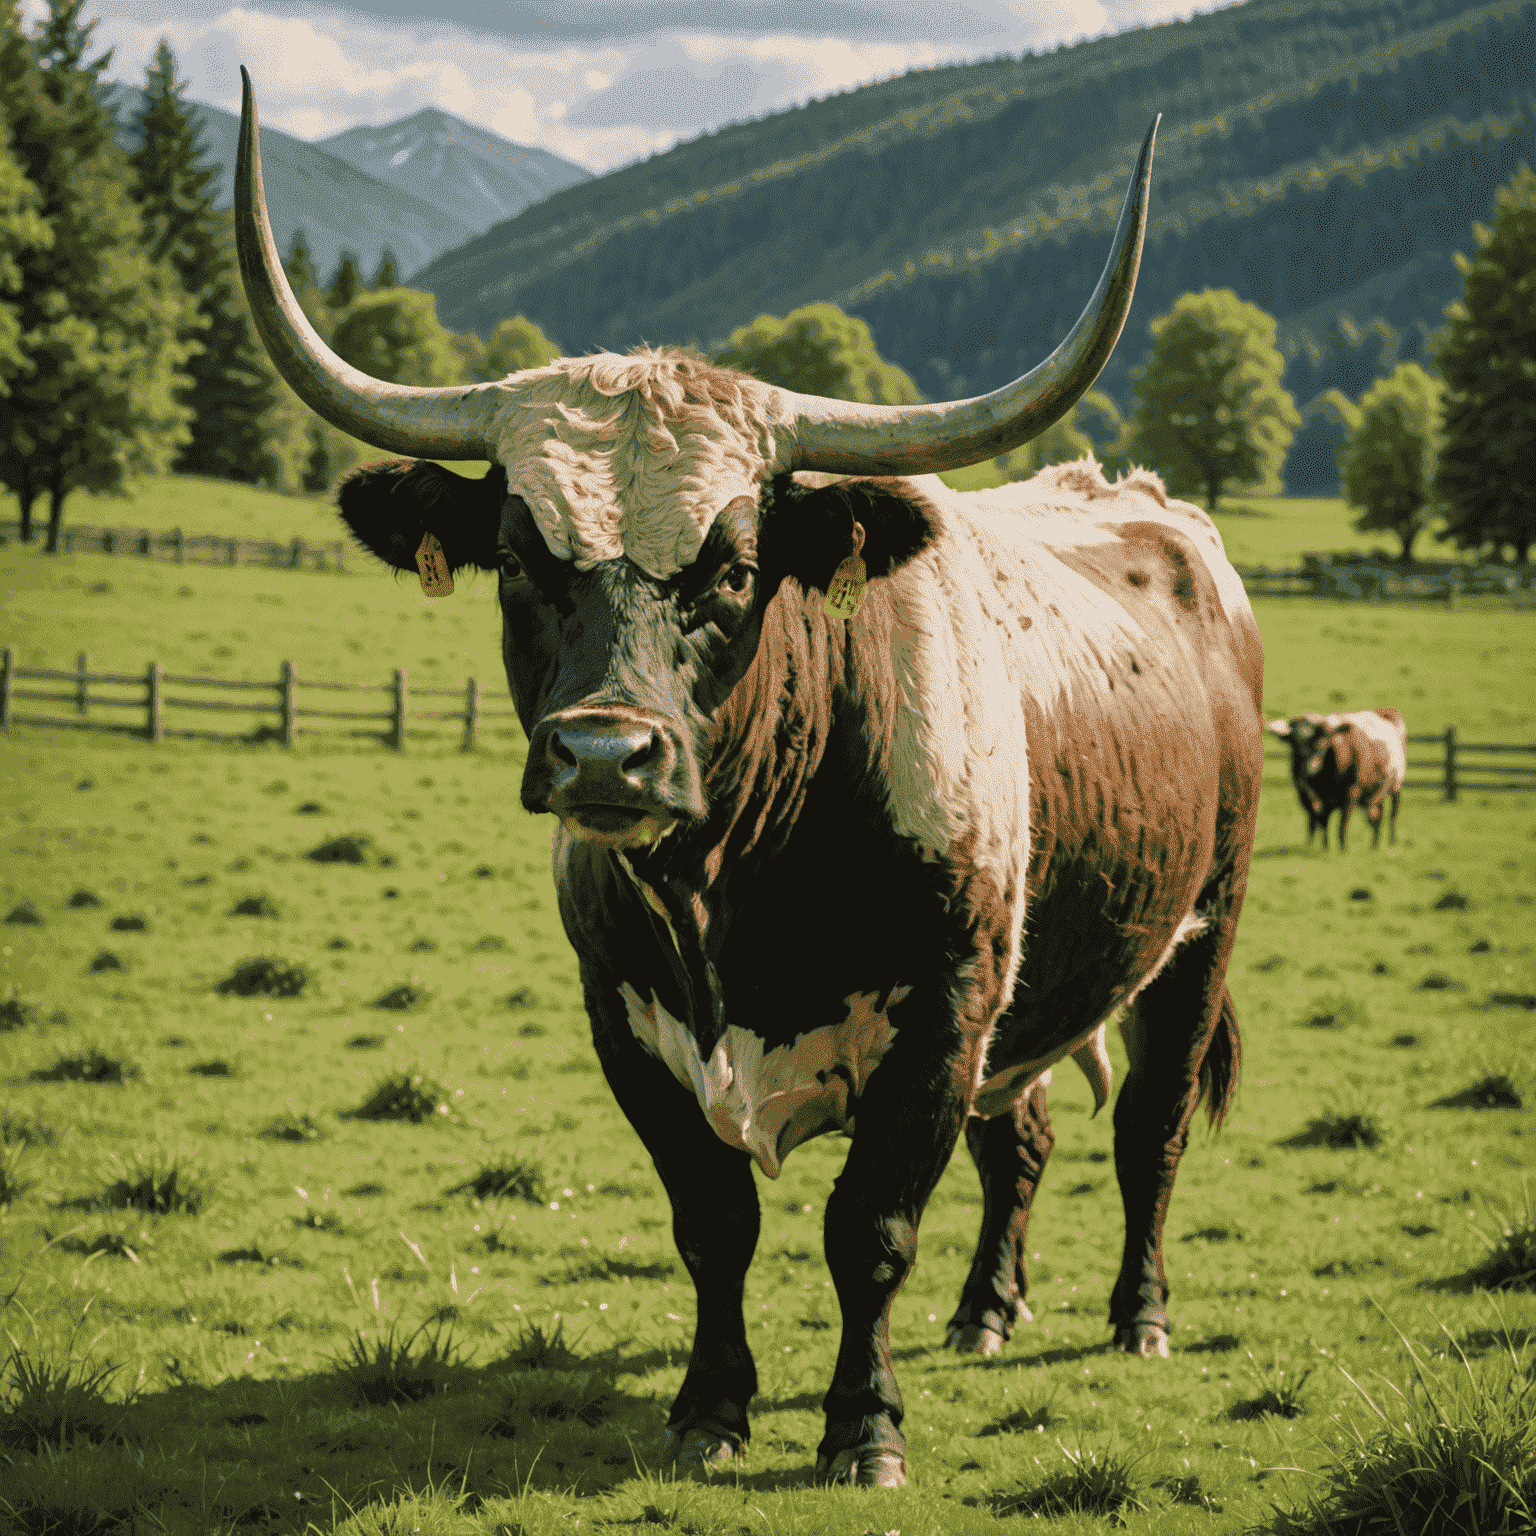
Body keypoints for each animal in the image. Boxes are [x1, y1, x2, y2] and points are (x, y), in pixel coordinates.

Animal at [230, 77, 1259, 1492]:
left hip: (1198, 932)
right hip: (1037, 986)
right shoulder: (627, 1022)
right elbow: (712, 1222)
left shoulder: (943, 1018)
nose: (605, 755)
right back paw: (986, 1312)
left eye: (734, 566)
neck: (734, 892)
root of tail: (1150, 506)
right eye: (516, 556)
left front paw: (862, 1428)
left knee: (1147, 1131)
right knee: (1025, 1137)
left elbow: (869, 1230)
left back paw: (1139, 1316)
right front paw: (710, 1407)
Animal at [1271, 709, 1406, 854]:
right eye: (1293, 742)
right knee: (1377, 817)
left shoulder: (1351, 793)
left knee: (1392, 815)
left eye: (1321, 742)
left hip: (1396, 786)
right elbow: (1319, 822)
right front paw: (1322, 848)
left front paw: (1342, 850)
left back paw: (1391, 842)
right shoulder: (1308, 795)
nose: (1305, 768)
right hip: (1375, 792)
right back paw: (1374, 846)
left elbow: (1341, 824)